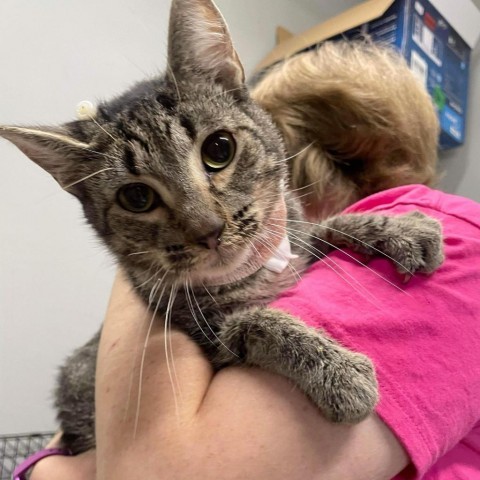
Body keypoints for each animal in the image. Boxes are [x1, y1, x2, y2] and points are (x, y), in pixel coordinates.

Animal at [0, 0, 444, 454]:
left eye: (219, 149)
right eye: (137, 198)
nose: (209, 230)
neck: (259, 269)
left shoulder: (294, 241)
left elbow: (324, 226)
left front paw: (394, 229)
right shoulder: (210, 339)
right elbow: (257, 322)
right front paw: (337, 372)